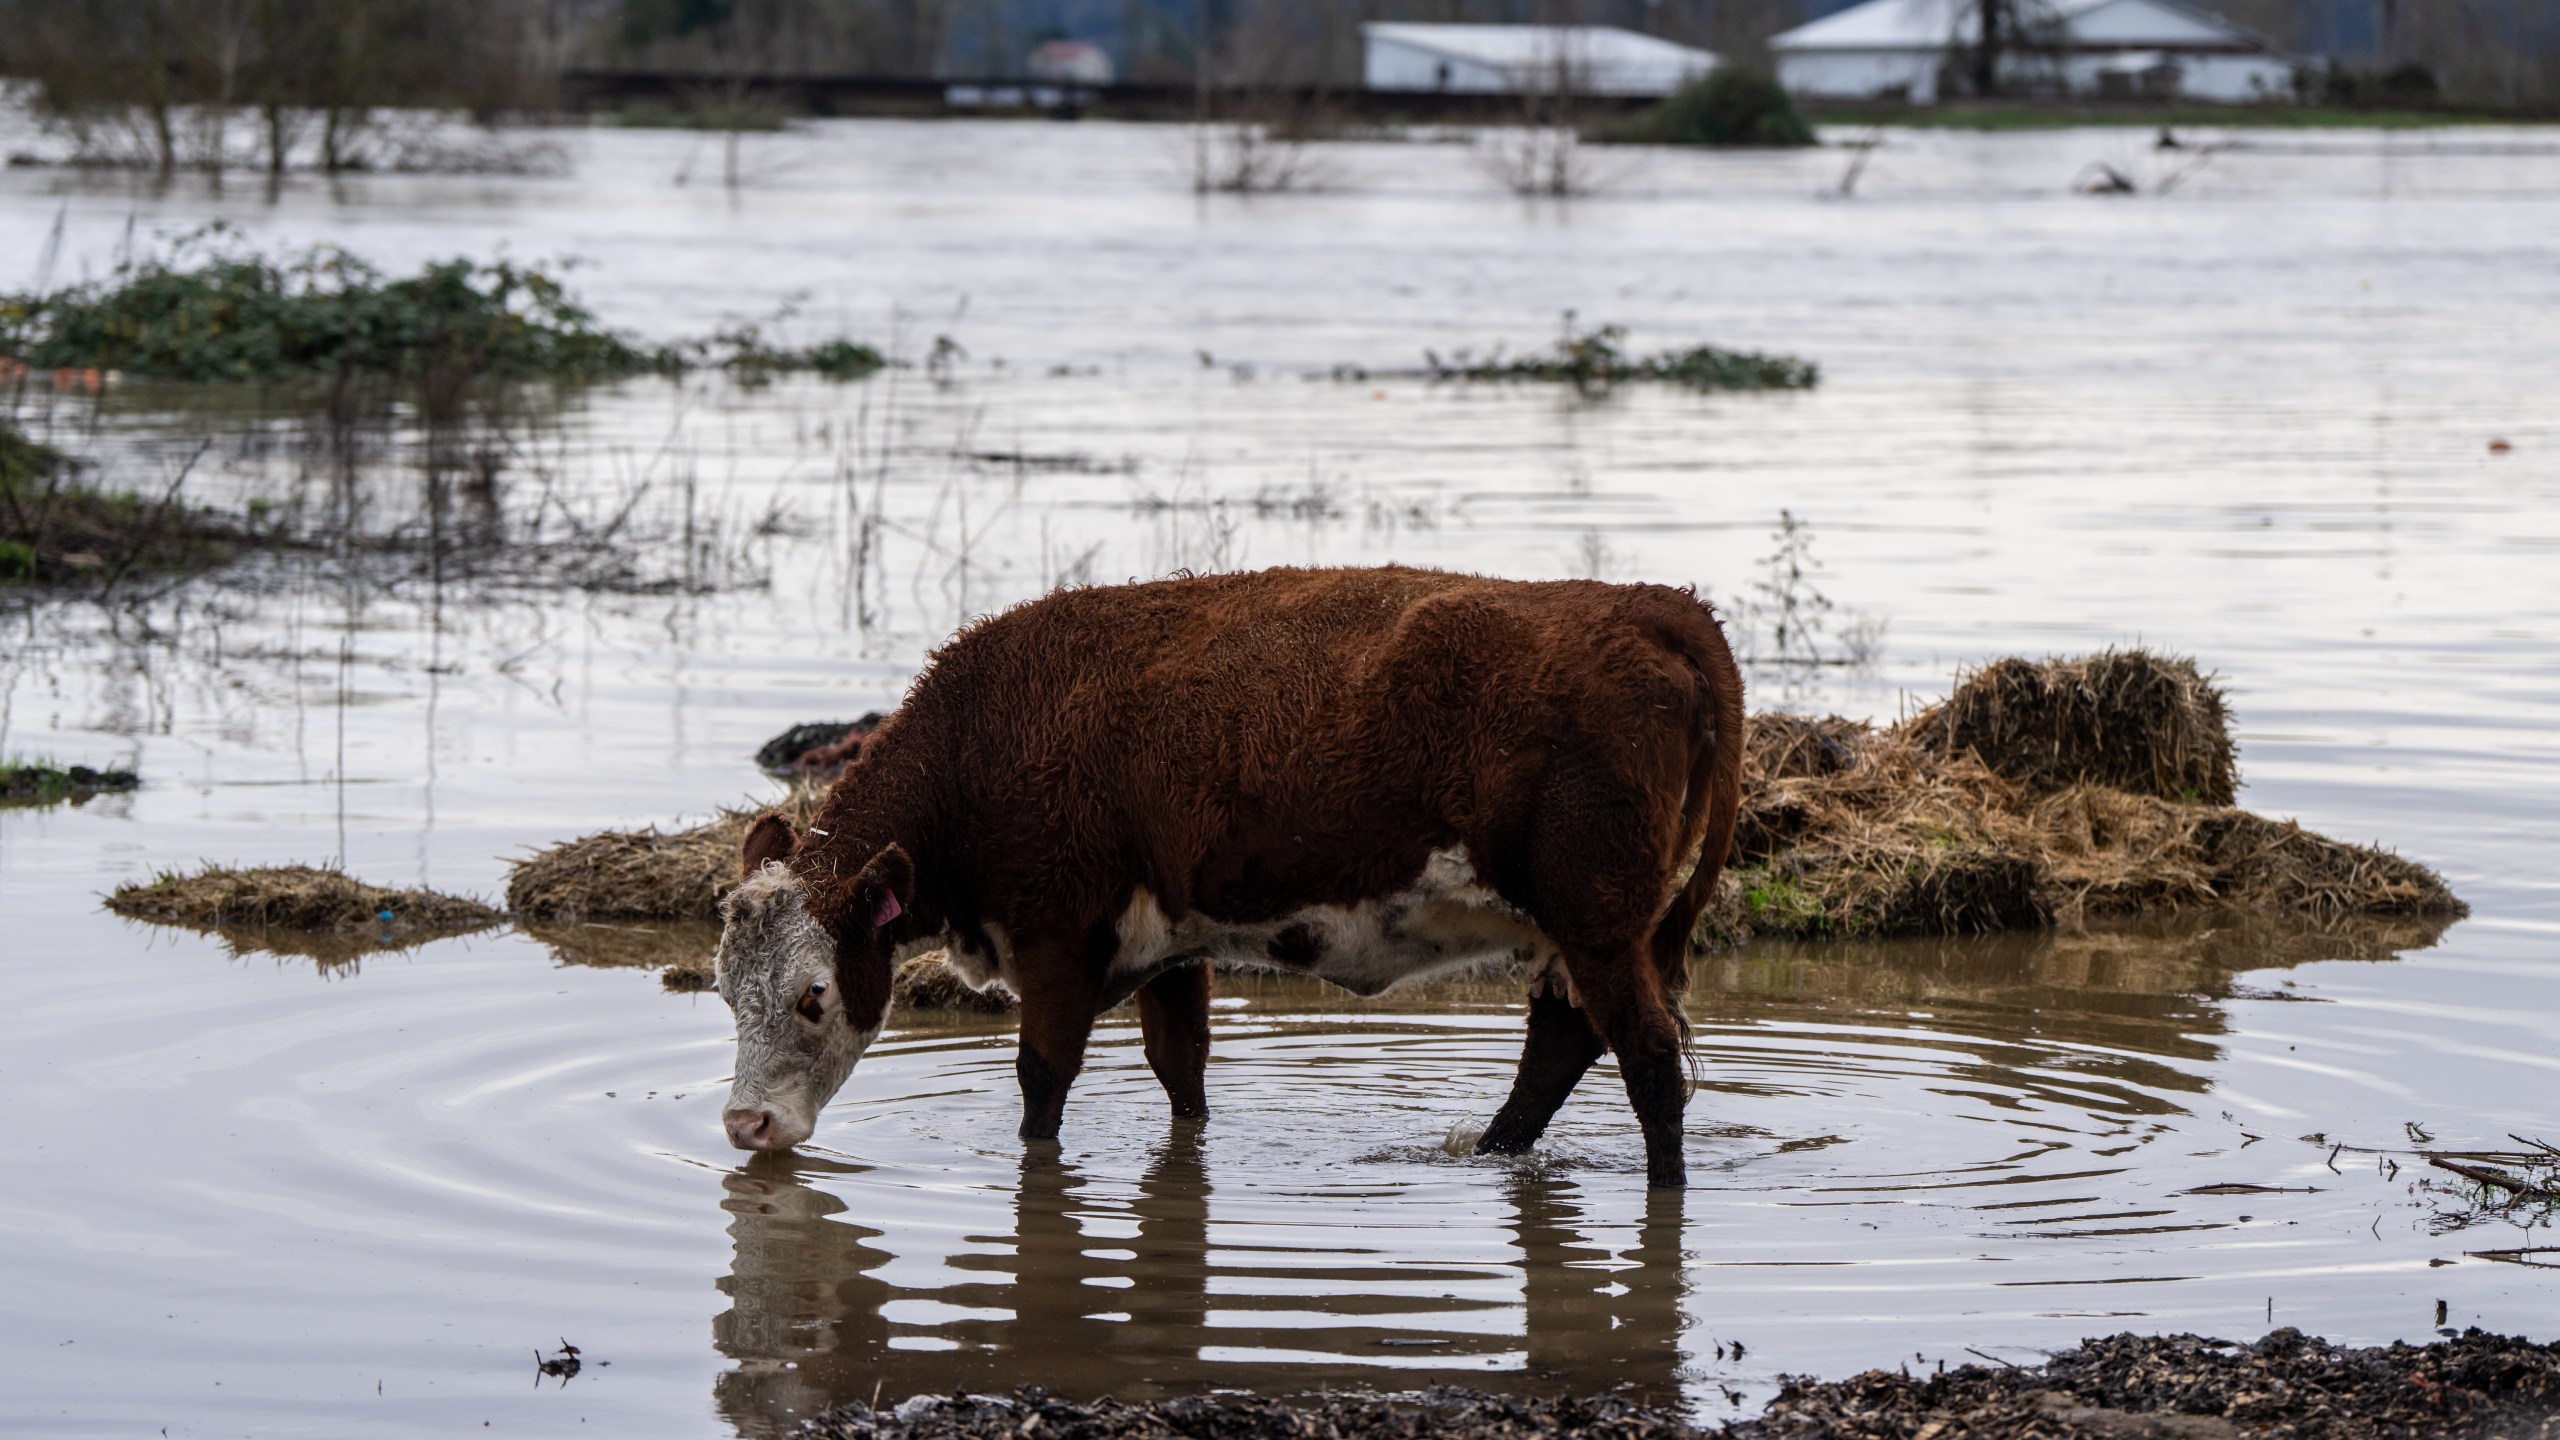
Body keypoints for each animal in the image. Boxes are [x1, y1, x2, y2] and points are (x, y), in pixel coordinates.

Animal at [713, 566, 1744, 1188]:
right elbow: (1183, 1075)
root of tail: (1653, 604)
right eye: (726, 992)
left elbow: (1043, 1078)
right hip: (1582, 931)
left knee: (1648, 1058)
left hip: (1599, 920)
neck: (983, 742)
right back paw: (1487, 1154)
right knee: (1563, 1042)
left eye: (813, 994)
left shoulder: (1057, 936)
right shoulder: (1171, 947)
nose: (745, 1126)